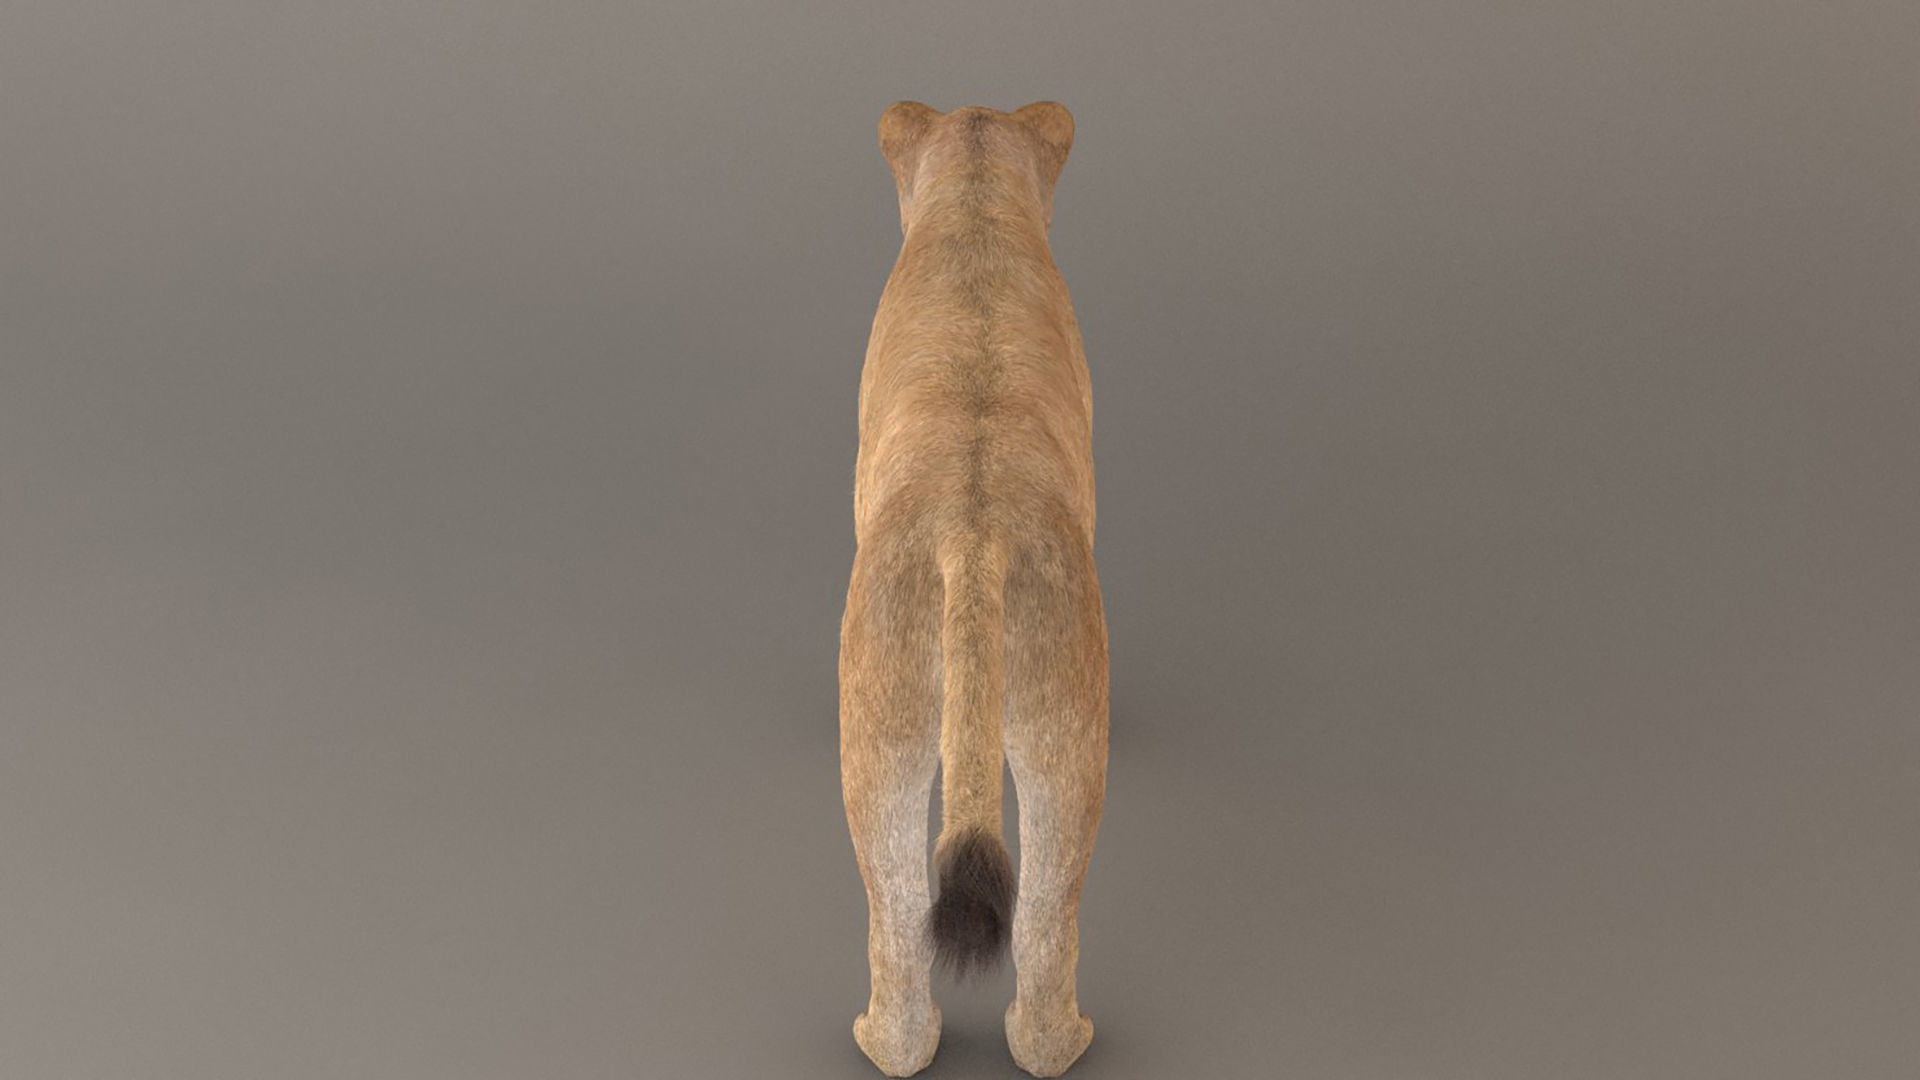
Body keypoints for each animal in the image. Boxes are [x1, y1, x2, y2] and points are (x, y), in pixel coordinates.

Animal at [838, 100, 1109, 1078]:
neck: (979, 202)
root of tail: (973, 526)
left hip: (883, 730)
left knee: (900, 916)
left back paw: (889, 1040)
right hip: (1057, 725)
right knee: (1038, 918)